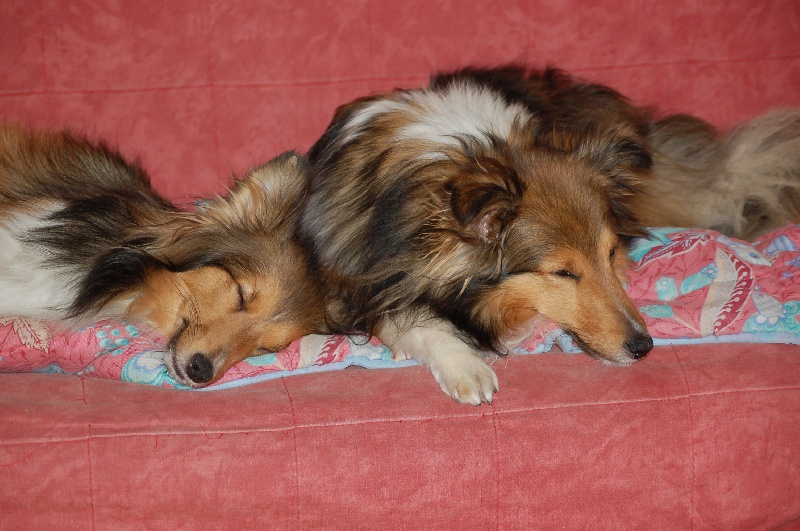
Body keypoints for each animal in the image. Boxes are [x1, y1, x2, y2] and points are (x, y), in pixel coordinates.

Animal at [300, 67, 800, 408]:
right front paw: (467, 368)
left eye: (610, 253)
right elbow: (411, 321)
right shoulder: (350, 288)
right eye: (562, 272)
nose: (644, 347)